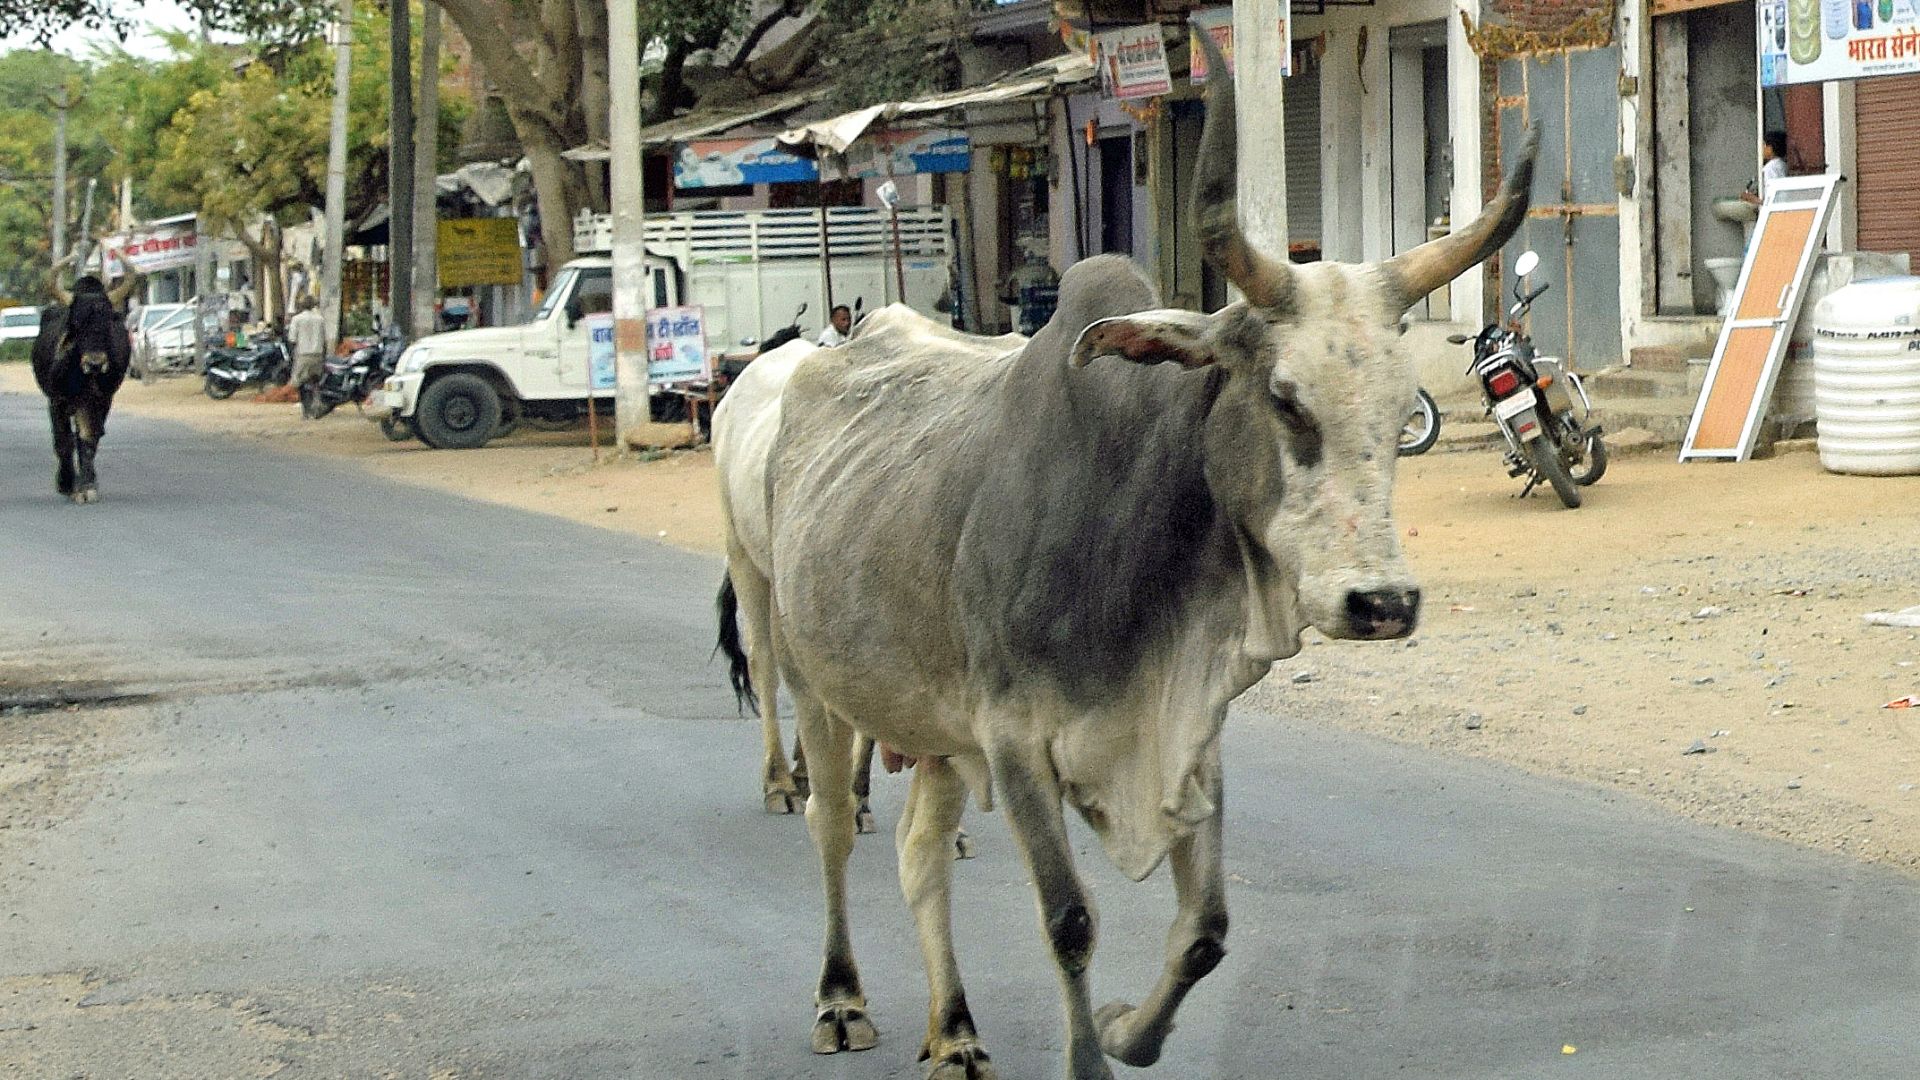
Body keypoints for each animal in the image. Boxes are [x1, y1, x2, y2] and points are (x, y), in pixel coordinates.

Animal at [31, 270, 137, 503]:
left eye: (106, 323)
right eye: (76, 324)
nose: (95, 363)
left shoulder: (101, 401)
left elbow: (88, 440)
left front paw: (86, 486)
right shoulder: (57, 401)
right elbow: (63, 441)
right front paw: (66, 484)